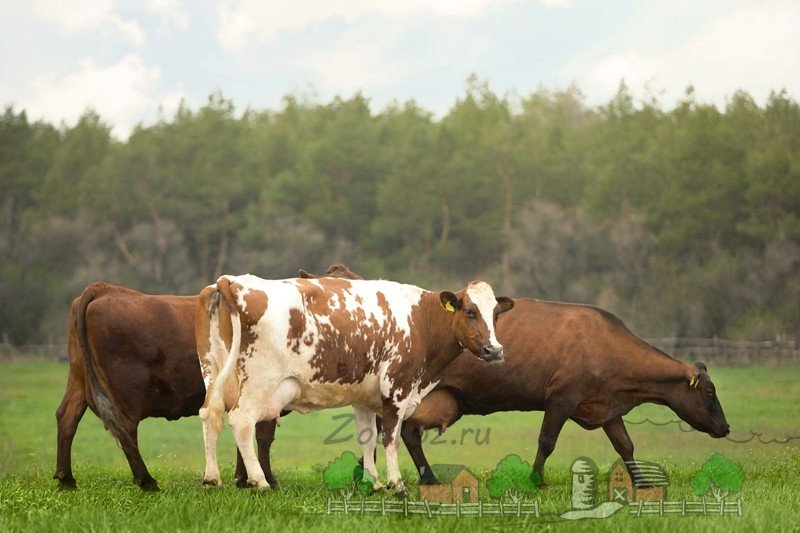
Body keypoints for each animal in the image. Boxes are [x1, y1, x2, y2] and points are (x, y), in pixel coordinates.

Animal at [54, 282, 278, 490]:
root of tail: (104, 289)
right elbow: (262, 435)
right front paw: (266, 479)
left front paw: (243, 478)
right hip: (127, 390)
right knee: (125, 428)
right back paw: (147, 481)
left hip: (78, 379)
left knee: (67, 417)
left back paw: (67, 480)